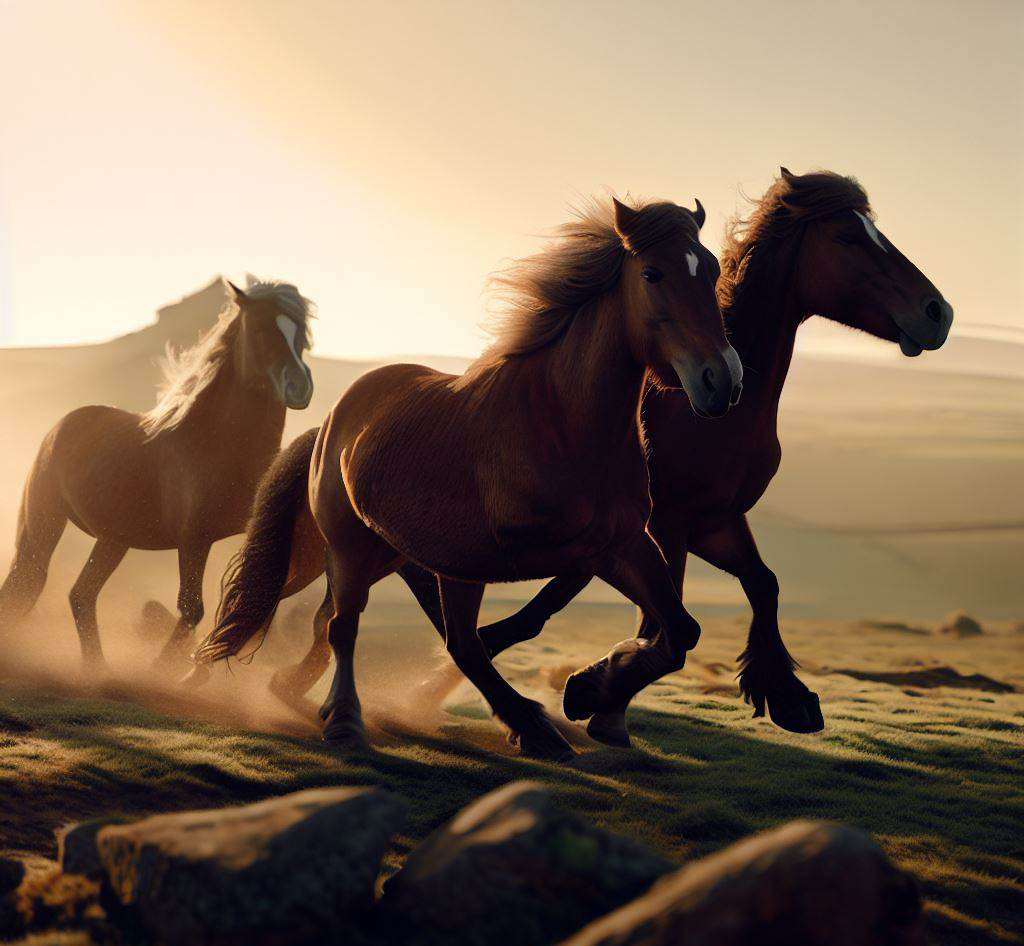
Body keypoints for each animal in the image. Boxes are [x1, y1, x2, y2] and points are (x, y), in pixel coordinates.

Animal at [0, 277, 315, 671]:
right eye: (259, 329)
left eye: (302, 335)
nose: (299, 387)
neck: (220, 446)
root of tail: (61, 426)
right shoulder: (194, 539)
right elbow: (191, 611)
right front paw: (161, 673)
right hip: (45, 526)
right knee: (29, 583)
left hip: (113, 539)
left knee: (80, 595)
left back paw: (99, 672)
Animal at [192, 195, 743, 761]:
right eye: (652, 273)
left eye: (713, 269)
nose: (721, 380)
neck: (561, 424)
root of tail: (332, 419)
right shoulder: (512, 552)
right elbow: (501, 628)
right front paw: (578, 693)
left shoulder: (620, 544)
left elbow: (680, 630)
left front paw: (589, 690)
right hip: (352, 546)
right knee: (351, 625)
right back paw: (346, 719)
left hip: (393, 554)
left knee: (361, 624)